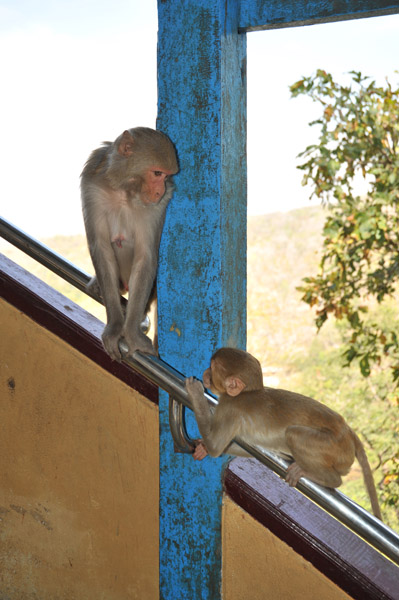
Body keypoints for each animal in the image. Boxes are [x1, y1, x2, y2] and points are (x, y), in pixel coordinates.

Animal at [81, 127, 178, 360]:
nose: (160, 191)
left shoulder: (156, 208)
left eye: (167, 176)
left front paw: (132, 333)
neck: (124, 191)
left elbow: (145, 258)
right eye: (157, 173)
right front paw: (115, 326)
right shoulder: (91, 187)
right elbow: (102, 249)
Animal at [186, 346, 382, 520]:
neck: (245, 393)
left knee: (294, 435)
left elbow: (215, 447)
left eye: (212, 368)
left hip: (334, 446)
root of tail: (347, 430)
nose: (205, 372)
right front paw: (202, 447)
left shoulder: (229, 407)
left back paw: (328, 479)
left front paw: (195, 392)